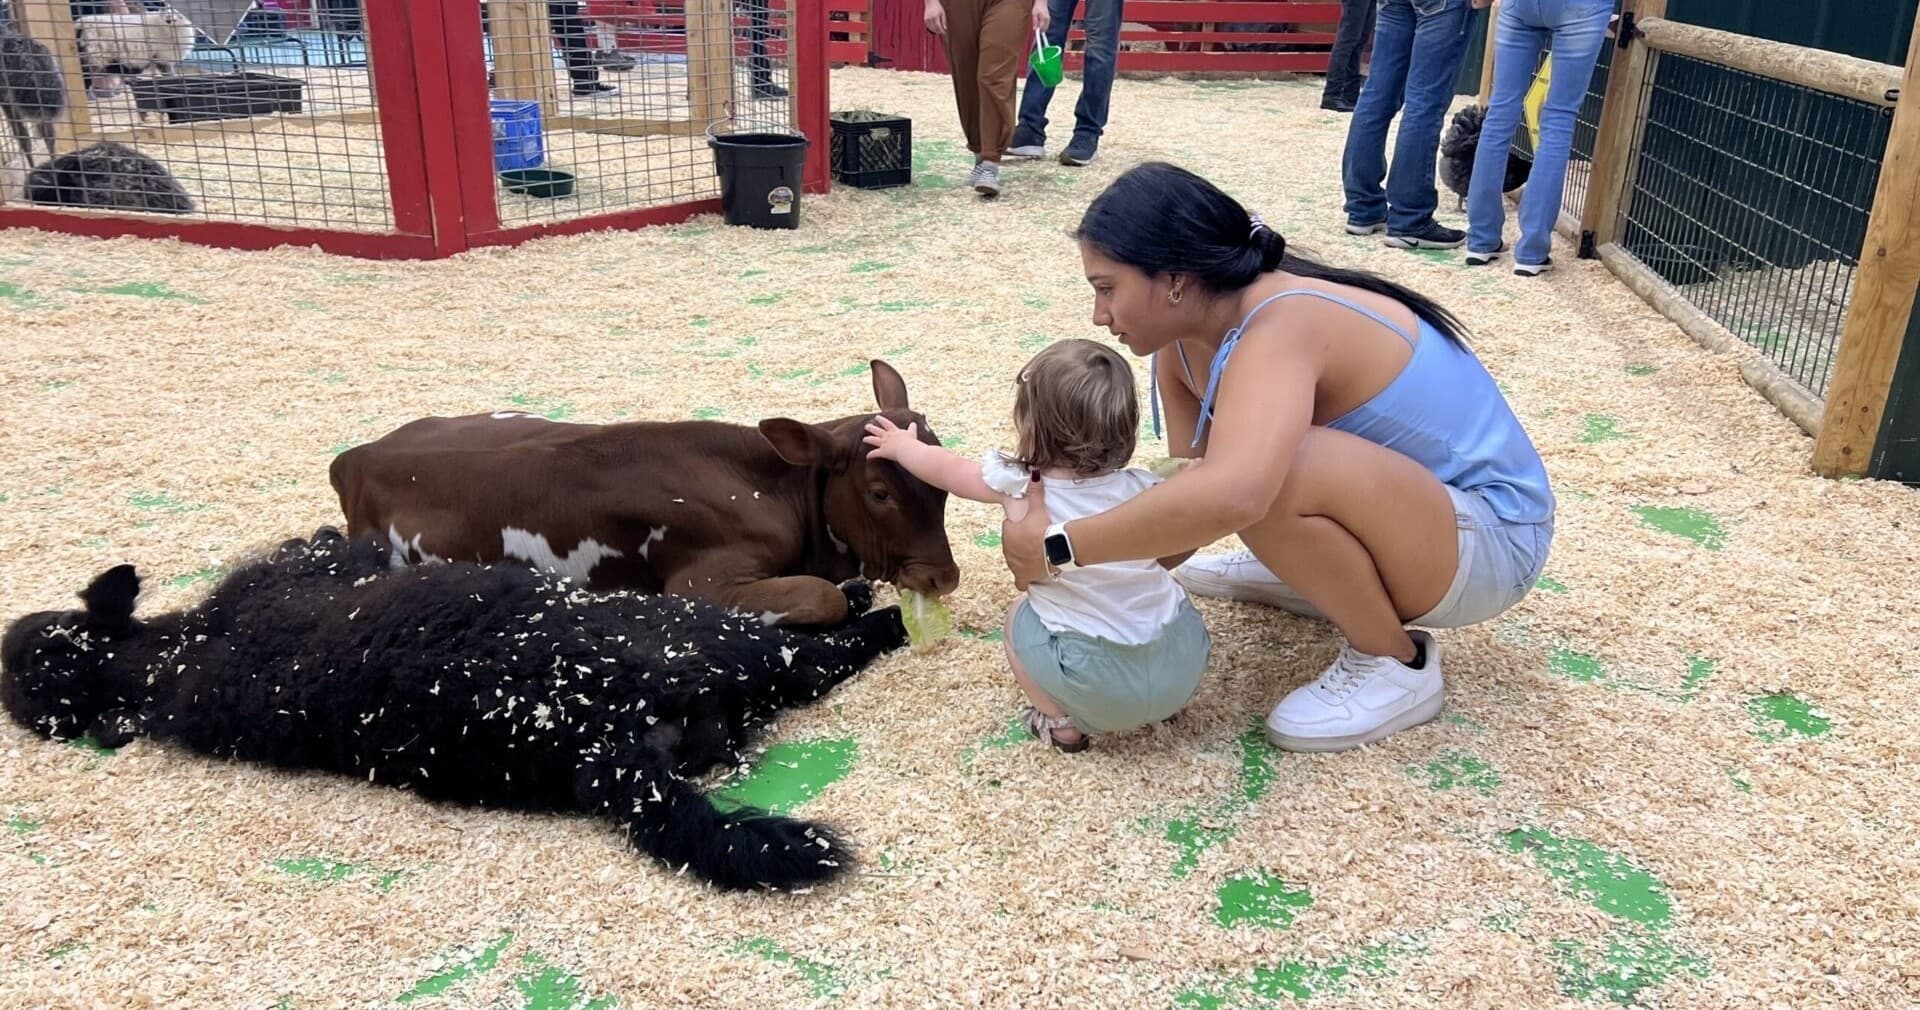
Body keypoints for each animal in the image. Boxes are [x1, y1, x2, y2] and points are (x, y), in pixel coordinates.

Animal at [328, 359, 960, 629]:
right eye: (879, 492)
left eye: (942, 491)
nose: (944, 577)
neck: (767, 486)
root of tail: (357, 456)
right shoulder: (703, 581)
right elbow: (824, 597)